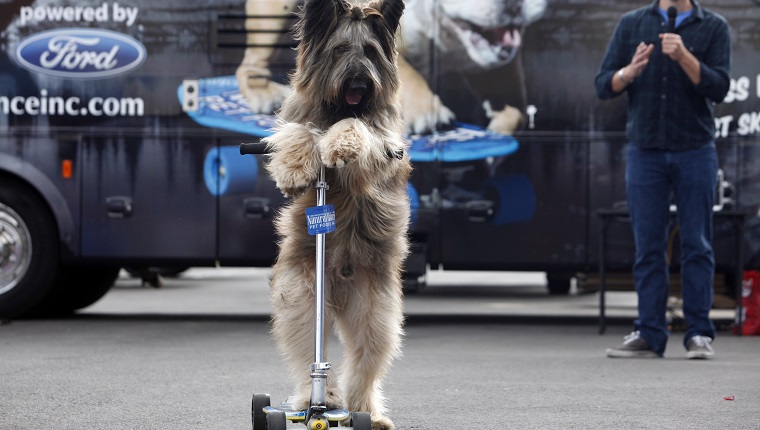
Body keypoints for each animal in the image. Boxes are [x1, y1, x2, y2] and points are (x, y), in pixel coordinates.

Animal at [260, 1, 410, 428]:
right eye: (341, 49)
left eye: (371, 52)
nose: (359, 81)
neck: (338, 106)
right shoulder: (297, 119)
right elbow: (298, 133)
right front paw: (295, 169)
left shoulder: (382, 146)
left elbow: (357, 127)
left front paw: (340, 144)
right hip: (302, 298)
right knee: (309, 357)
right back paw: (315, 403)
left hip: (377, 313)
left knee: (364, 361)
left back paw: (363, 412)